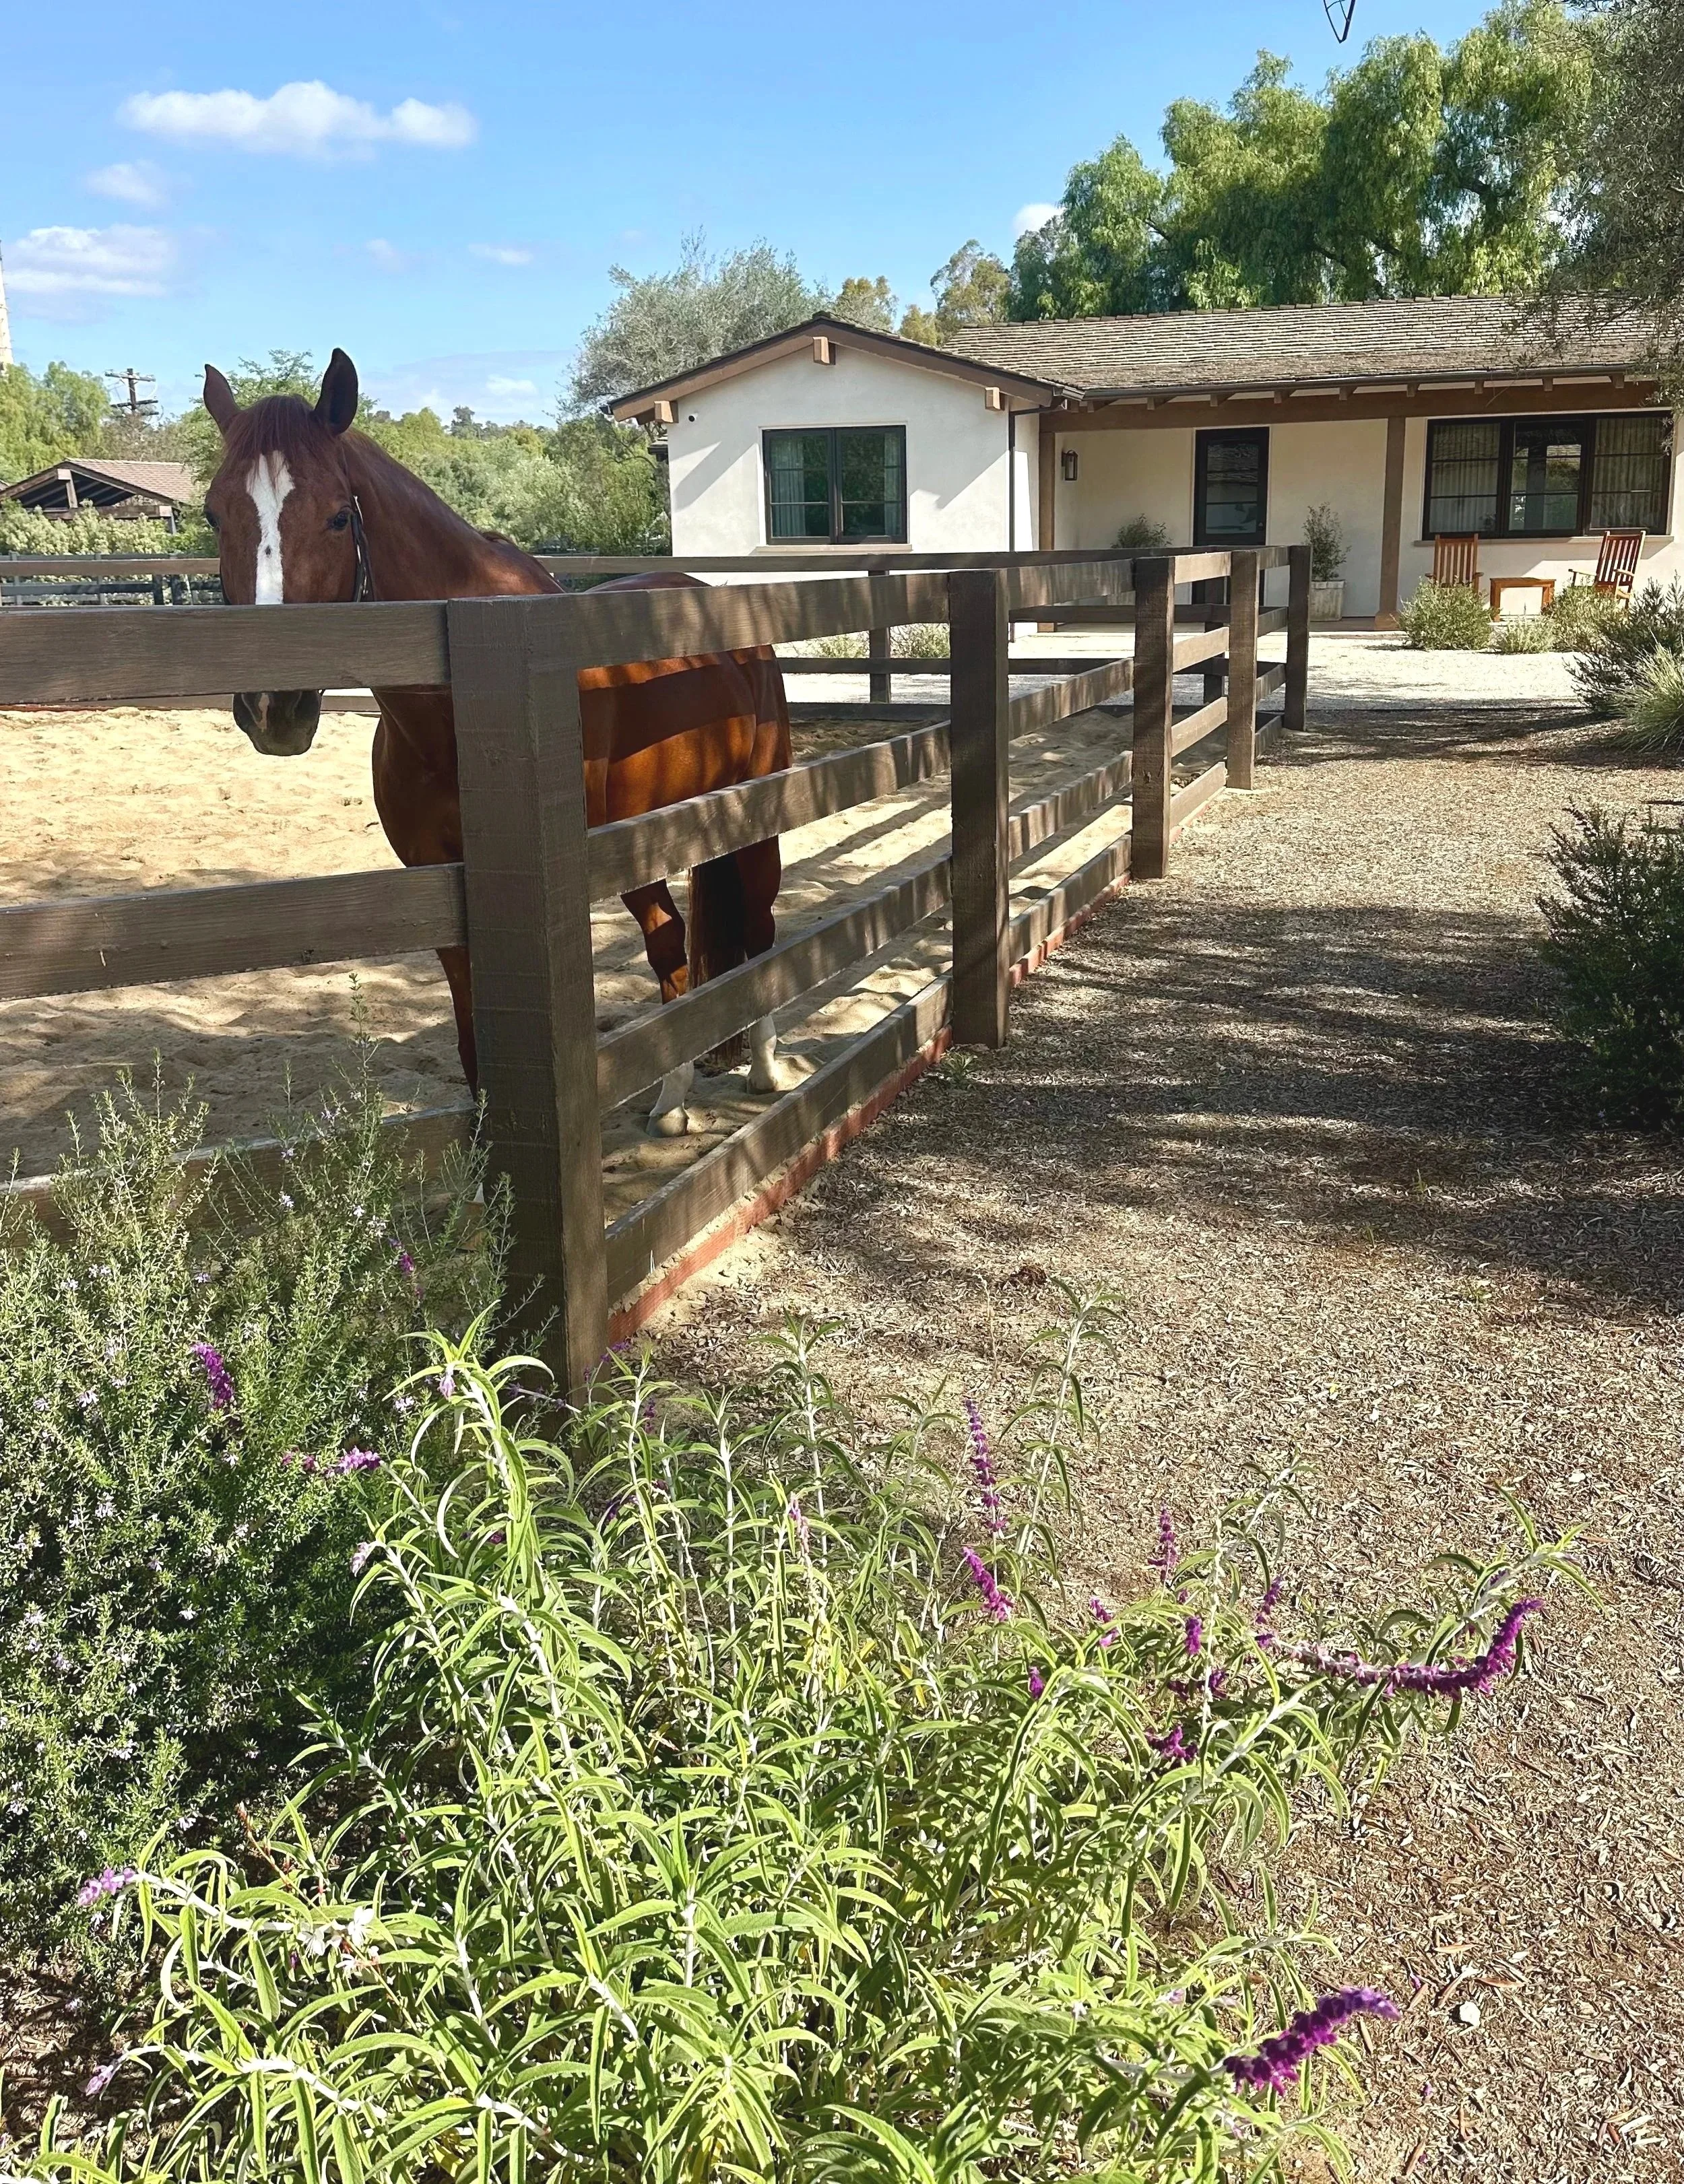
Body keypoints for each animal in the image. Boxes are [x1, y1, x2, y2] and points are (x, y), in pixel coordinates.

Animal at [200, 346, 791, 1138]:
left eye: (335, 516)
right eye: (214, 513)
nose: (273, 706)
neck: (466, 709)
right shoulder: (444, 888)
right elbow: (470, 1026)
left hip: (738, 820)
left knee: (743, 929)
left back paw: (747, 1074)